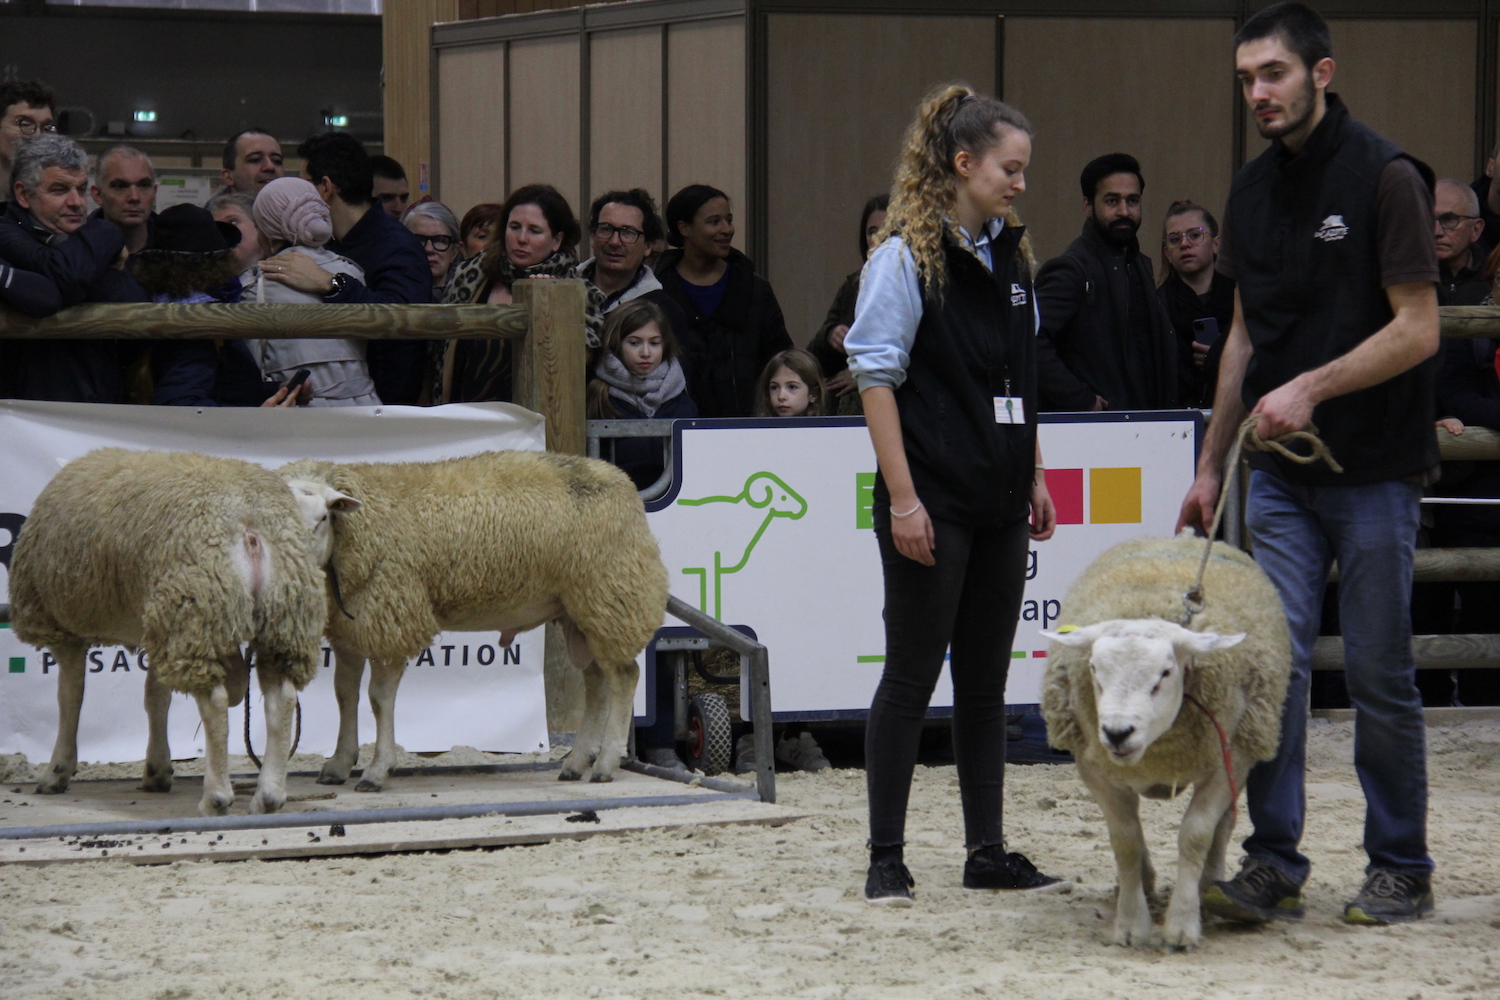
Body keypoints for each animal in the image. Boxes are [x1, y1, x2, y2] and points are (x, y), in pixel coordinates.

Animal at [8, 449, 325, 815]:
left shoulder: (64, 627)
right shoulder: (156, 624)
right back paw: (268, 795)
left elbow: (70, 697)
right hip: (279, 620)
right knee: (281, 700)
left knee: (216, 702)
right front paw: (157, 771)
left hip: (195, 609)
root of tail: (250, 524)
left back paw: (216, 796)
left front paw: (57, 770)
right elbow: (156, 698)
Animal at [279, 452, 666, 791]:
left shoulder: (392, 616)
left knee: (623, 677)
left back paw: (605, 764)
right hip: (579, 611)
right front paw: (339, 764)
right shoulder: (350, 627)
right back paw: (577, 762)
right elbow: (345, 695)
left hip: (609, 593)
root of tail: (621, 479)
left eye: (322, 518)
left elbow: (378, 699)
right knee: (597, 682)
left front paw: (377, 770)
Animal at [1044, 536, 1290, 953]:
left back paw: (1211, 886)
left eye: (1164, 673)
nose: (1117, 732)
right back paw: (1141, 882)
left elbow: (1196, 835)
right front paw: (1131, 923)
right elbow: (1125, 840)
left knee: (1223, 826)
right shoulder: (1096, 768)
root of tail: (1187, 535)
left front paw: (1182, 924)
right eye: (1093, 669)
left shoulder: (1227, 759)